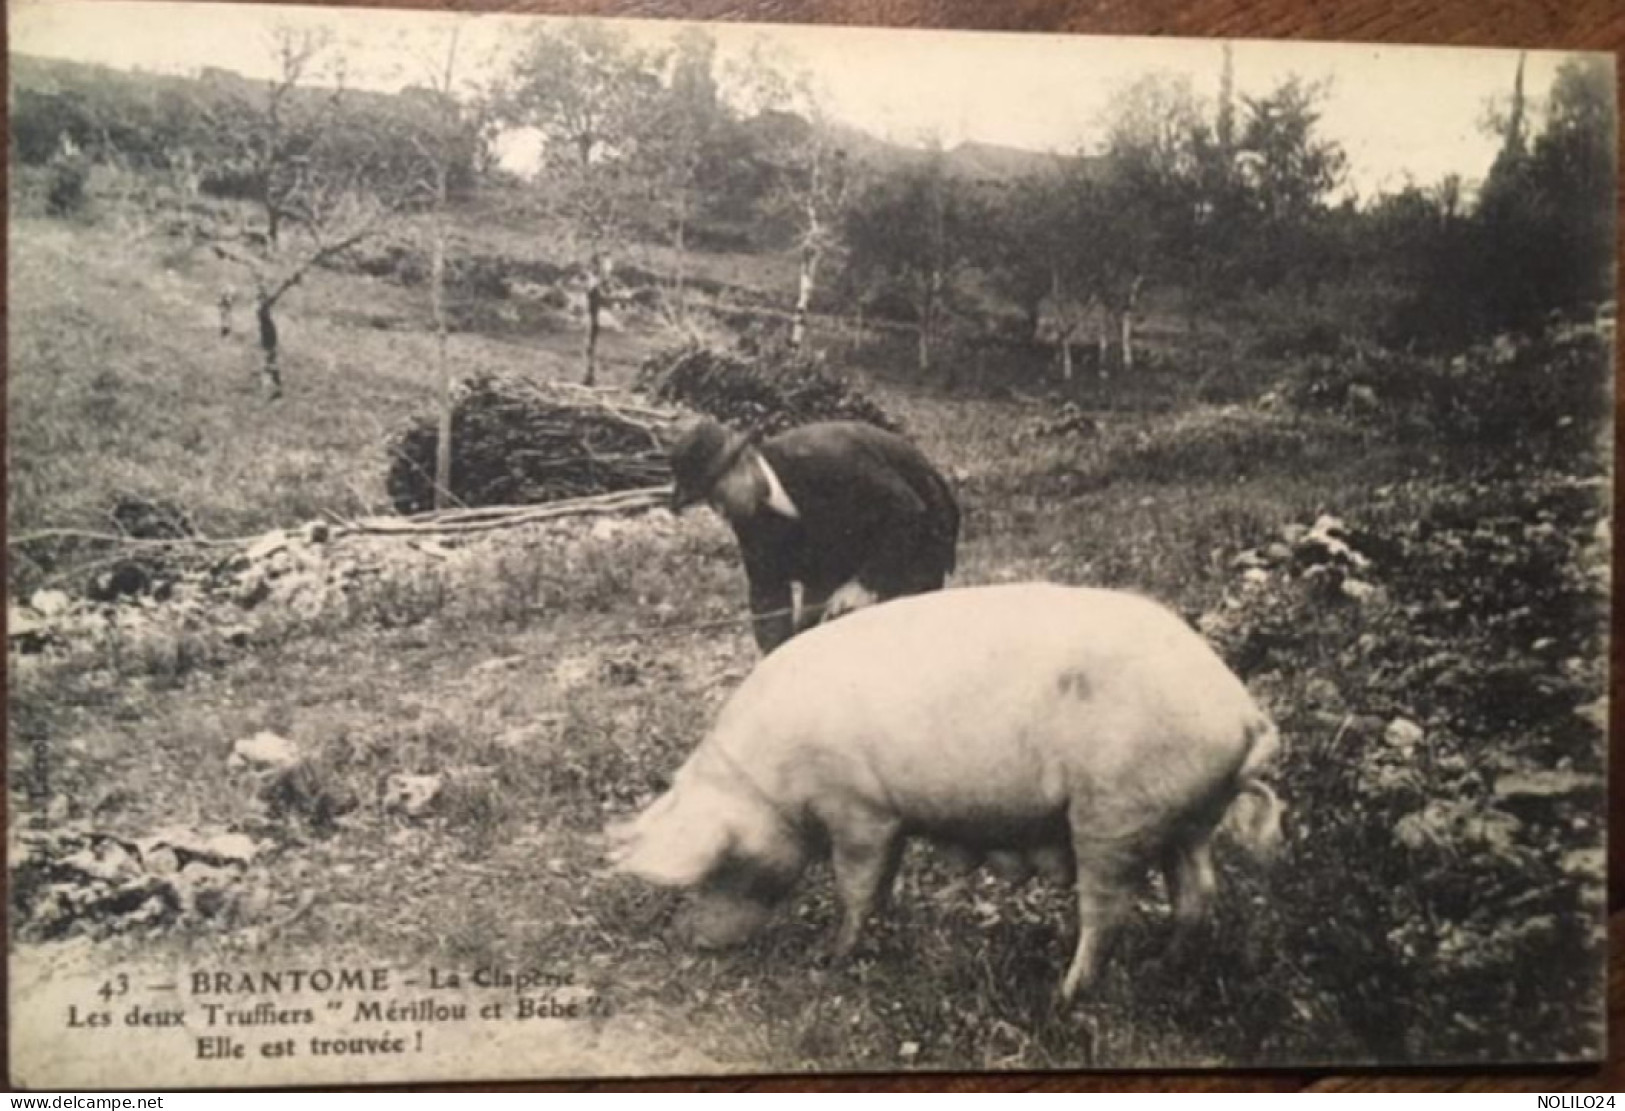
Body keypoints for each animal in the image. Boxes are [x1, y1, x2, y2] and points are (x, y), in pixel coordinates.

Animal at [611, 581, 1280, 1000]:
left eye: (718, 867)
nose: (688, 938)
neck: (772, 782)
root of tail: (1242, 714)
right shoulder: (887, 818)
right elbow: (880, 885)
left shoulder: (860, 810)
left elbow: (856, 884)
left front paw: (831, 956)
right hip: (1186, 818)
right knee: (1198, 891)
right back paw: (1162, 966)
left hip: (1114, 813)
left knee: (1107, 909)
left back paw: (1064, 995)